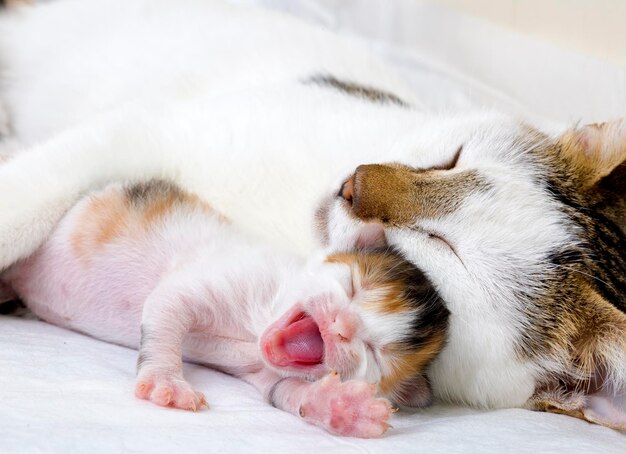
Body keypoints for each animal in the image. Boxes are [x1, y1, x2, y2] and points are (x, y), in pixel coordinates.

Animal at [1, 179, 448, 438]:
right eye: (354, 287)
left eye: (376, 352)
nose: (342, 325)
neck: (256, 329)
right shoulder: (213, 277)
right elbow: (167, 307)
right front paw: (166, 382)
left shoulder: (269, 374)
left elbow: (288, 392)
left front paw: (342, 407)